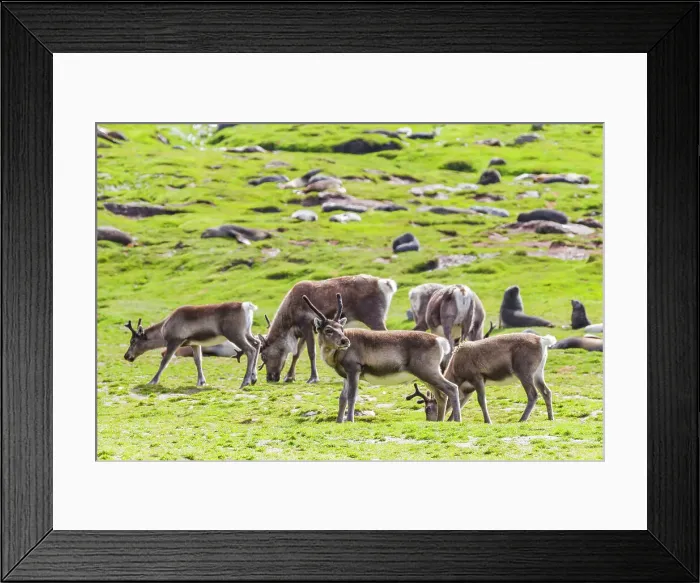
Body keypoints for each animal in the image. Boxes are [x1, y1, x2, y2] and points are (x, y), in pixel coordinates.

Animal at [123, 302, 260, 389]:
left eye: (133, 341)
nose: (126, 356)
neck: (163, 330)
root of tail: (246, 306)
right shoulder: (195, 343)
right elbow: (198, 361)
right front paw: (201, 382)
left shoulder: (175, 341)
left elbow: (164, 362)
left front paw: (152, 381)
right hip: (247, 332)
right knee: (257, 343)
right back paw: (253, 378)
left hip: (234, 334)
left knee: (250, 350)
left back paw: (245, 382)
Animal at [258, 275, 397, 384]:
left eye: (263, 355)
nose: (269, 378)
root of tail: (385, 283)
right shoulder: (302, 331)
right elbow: (297, 353)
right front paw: (289, 377)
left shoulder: (308, 325)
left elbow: (311, 353)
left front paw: (313, 378)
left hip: (374, 318)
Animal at [302, 293, 462, 423]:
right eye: (328, 329)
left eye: (341, 329)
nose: (345, 341)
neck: (335, 357)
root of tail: (440, 341)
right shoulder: (346, 374)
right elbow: (342, 398)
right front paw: (338, 421)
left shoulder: (354, 368)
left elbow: (352, 396)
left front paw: (350, 420)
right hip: (426, 374)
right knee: (441, 396)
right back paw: (440, 421)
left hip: (427, 371)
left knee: (452, 388)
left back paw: (457, 420)